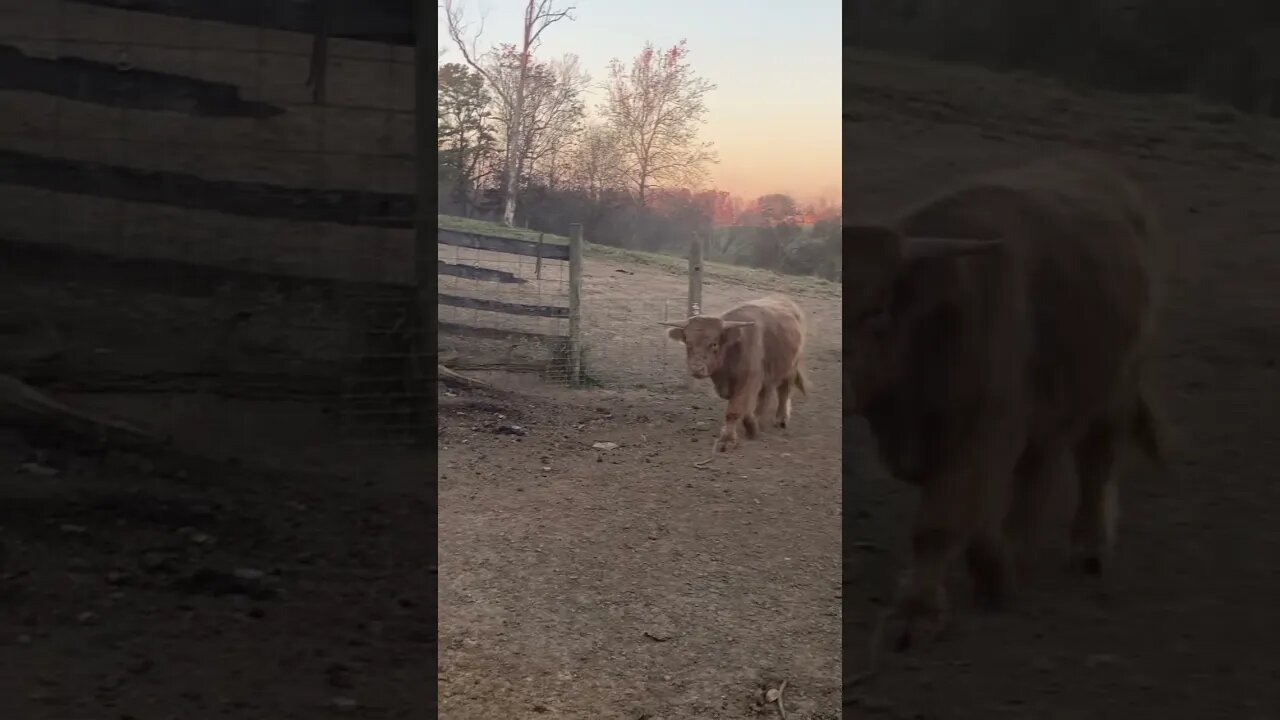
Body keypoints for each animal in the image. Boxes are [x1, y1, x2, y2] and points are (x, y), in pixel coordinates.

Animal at [665, 294, 803, 450]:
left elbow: (735, 410)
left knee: (784, 391)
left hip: (791, 367)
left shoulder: (749, 381)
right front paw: (751, 425)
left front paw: (729, 438)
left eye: (714, 344)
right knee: (766, 395)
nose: (697, 368)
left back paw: (781, 419)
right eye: (688, 343)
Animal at [849, 155, 1172, 650]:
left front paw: (915, 614)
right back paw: (1019, 552)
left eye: (876, 314)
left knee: (1095, 463)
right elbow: (978, 512)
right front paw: (995, 573)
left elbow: (940, 522)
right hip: (1054, 405)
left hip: (1116, 387)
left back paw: (1090, 547)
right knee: (1037, 474)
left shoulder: (988, 426)